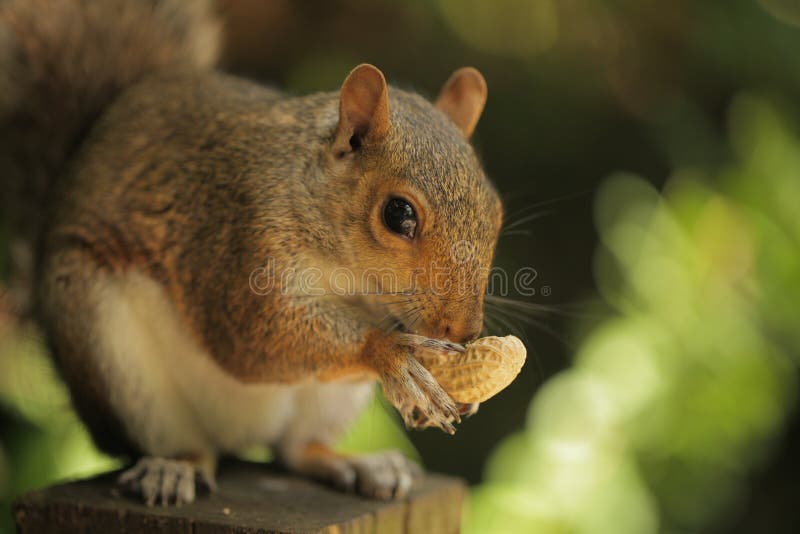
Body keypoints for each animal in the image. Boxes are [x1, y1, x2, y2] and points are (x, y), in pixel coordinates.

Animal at [0, 0, 500, 506]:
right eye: (398, 214)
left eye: (495, 211)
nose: (463, 331)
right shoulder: (238, 241)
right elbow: (253, 338)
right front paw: (390, 351)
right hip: (105, 342)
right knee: (183, 443)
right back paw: (174, 467)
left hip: (328, 404)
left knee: (295, 449)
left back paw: (357, 463)